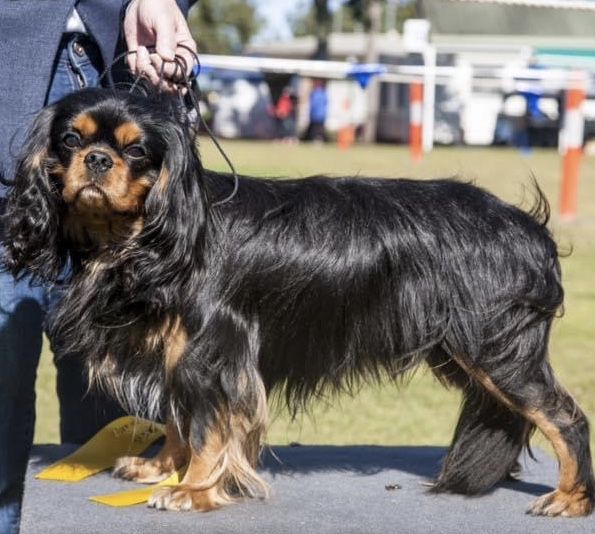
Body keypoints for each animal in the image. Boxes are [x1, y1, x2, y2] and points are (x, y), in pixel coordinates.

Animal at [2, 89, 592, 520]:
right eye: (69, 140)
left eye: (136, 151)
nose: (96, 160)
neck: (139, 236)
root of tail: (528, 227)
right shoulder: (179, 353)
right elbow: (177, 417)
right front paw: (165, 467)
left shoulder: (214, 350)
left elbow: (208, 427)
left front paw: (194, 488)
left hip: (494, 350)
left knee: (565, 417)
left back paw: (570, 498)